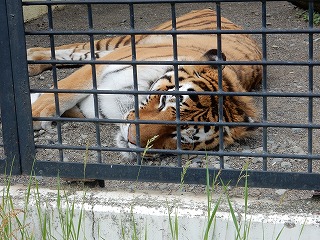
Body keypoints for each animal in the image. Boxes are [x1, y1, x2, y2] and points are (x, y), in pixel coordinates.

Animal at [28, 8, 262, 159]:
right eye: (163, 102)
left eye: (180, 137)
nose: (131, 139)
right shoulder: (110, 61)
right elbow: (66, 89)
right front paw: (36, 113)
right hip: (124, 42)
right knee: (77, 47)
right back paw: (31, 56)